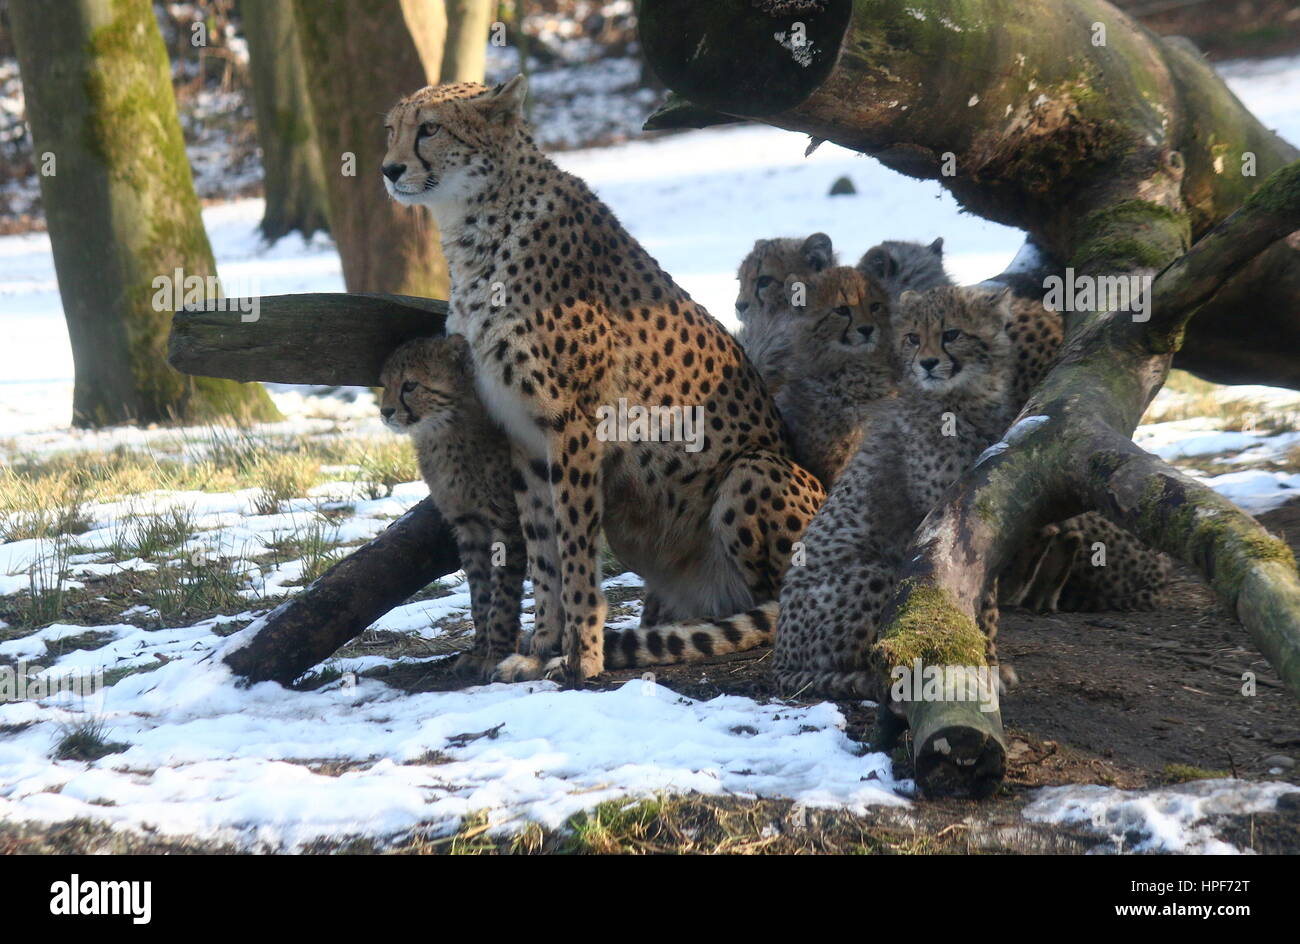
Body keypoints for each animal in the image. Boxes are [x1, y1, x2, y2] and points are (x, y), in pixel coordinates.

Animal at [379, 335, 526, 678]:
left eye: (410, 385)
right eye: (384, 385)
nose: (385, 411)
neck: (444, 431)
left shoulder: (507, 522)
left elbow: (504, 593)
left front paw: (498, 652)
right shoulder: (468, 524)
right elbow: (480, 592)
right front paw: (480, 650)